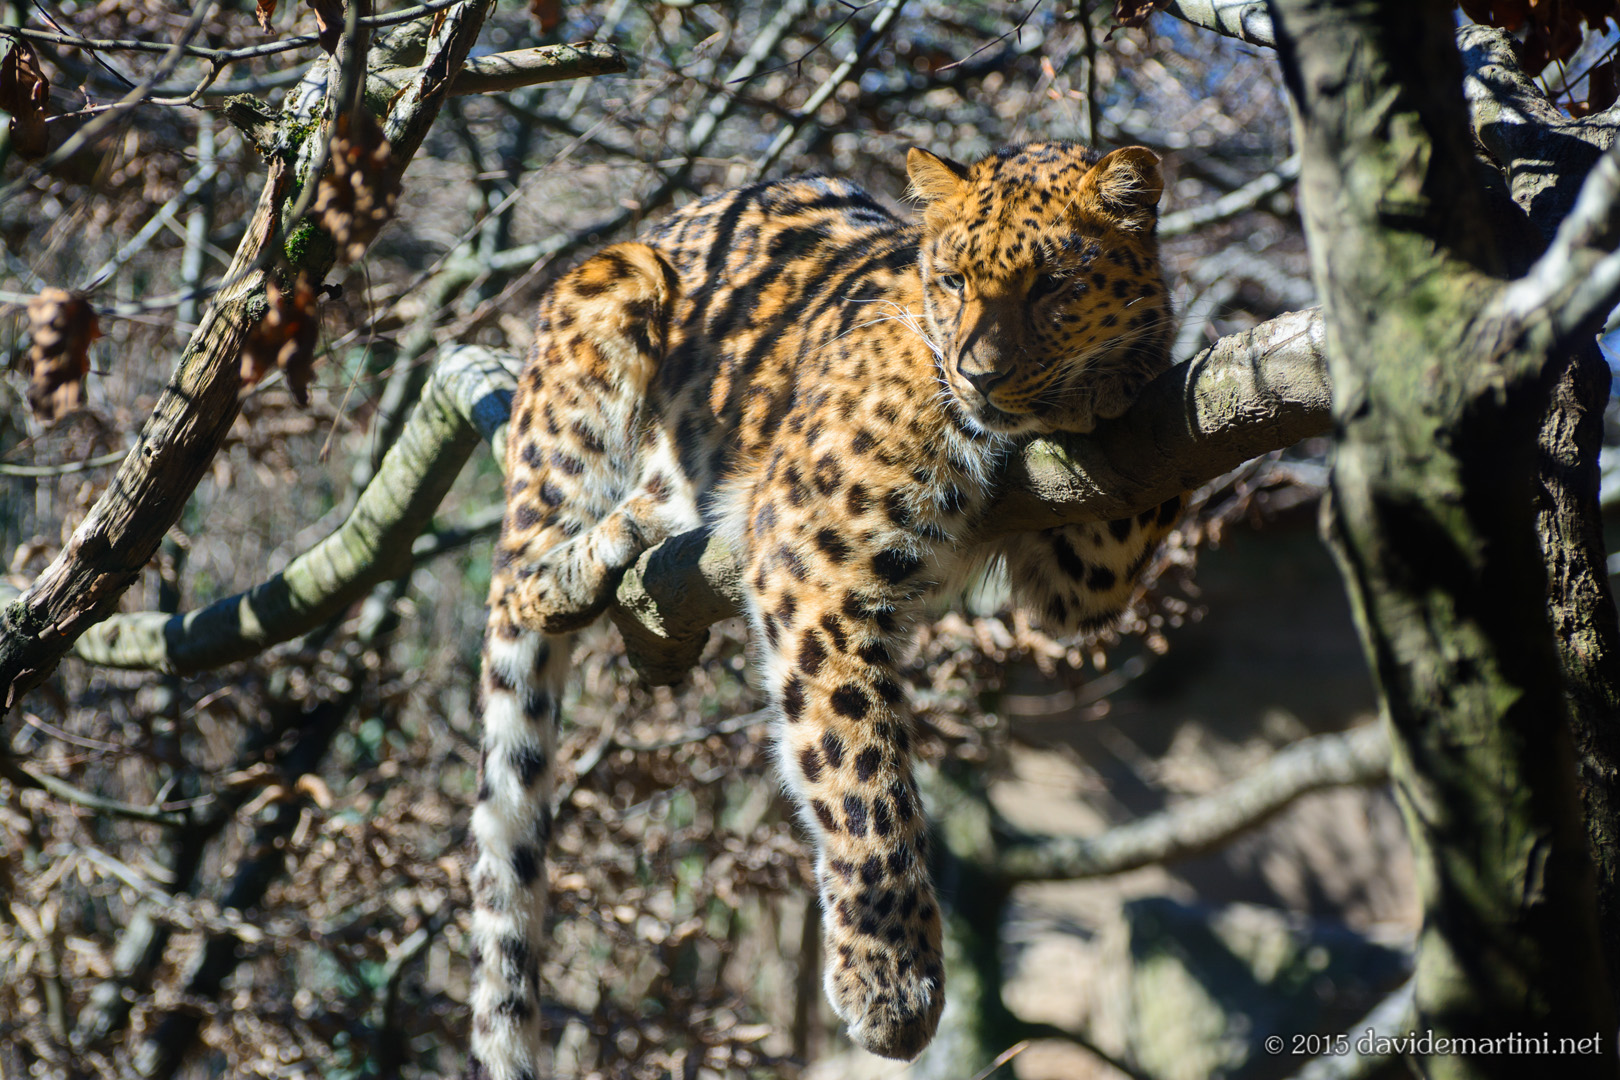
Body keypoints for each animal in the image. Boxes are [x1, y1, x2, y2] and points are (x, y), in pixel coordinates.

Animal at [466, 141, 1181, 1079]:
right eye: (953, 281)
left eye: (1053, 286)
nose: (979, 375)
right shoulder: (811, 553)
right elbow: (858, 770)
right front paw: (891, 979)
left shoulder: (1076, 563)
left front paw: (1128, 365)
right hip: (608, 296)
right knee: (520, 568)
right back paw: (580, 562)